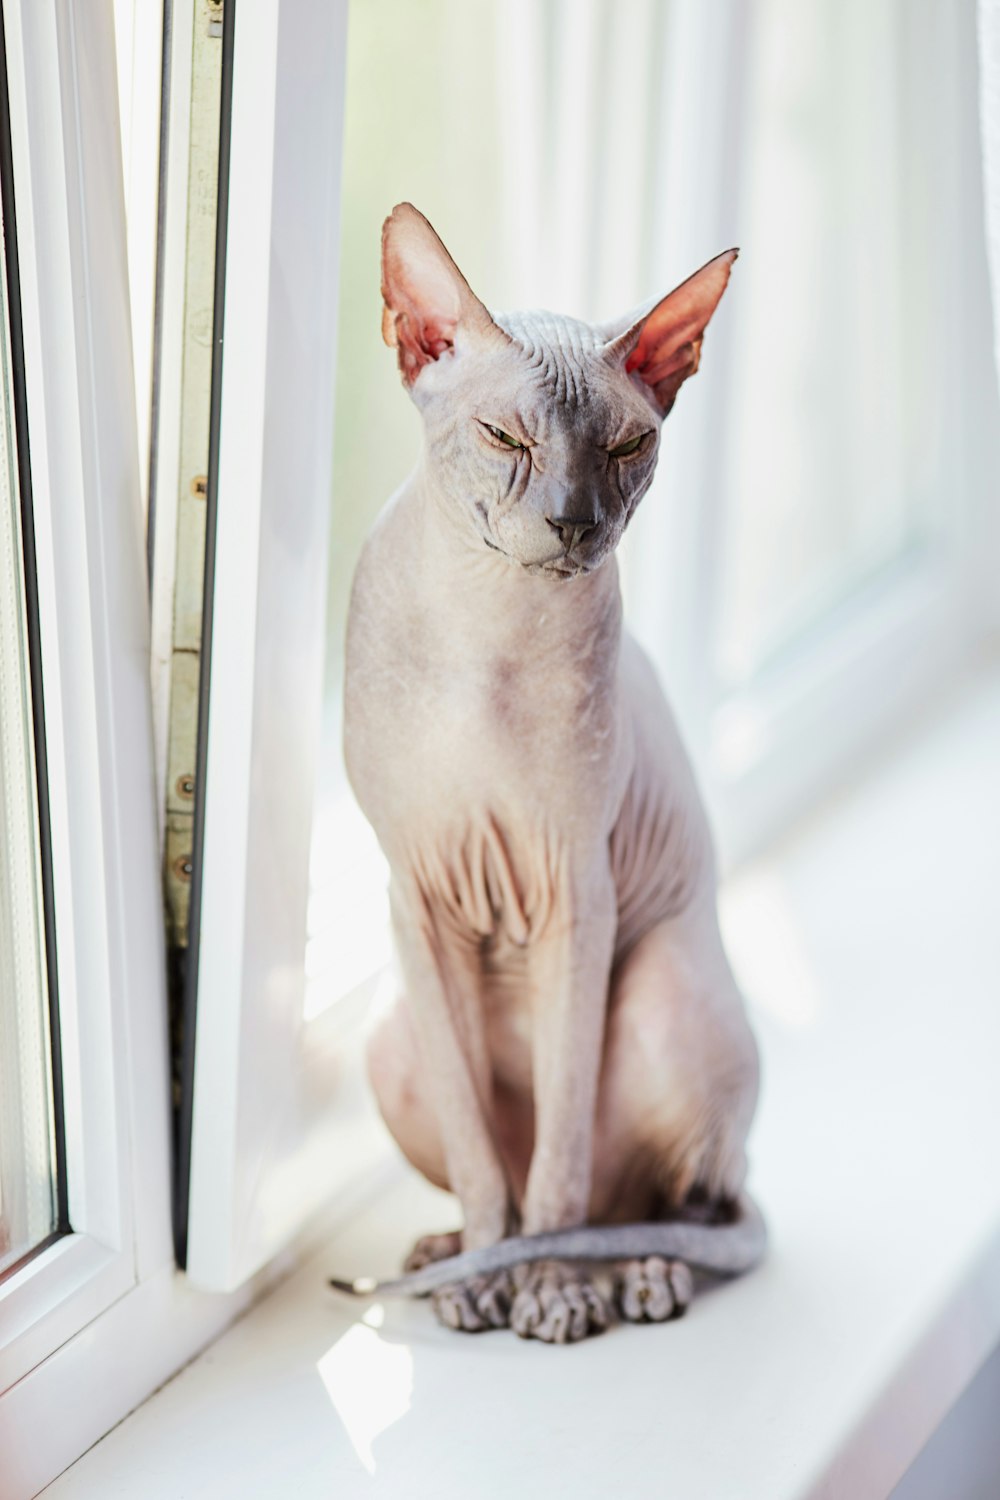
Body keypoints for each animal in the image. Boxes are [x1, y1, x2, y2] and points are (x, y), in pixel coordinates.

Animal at [332, 205, 761, 1344]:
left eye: (625, 446)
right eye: (504, 438)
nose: (575, 521)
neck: (486, 627)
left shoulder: (576, 890)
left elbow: (561, 1161)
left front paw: (553, 1290)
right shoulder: (417, 897)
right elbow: (486, 1163)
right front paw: (484, 1272)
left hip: (660, 996)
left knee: (659, 1199)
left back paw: (630, 1272)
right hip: (391, 1036)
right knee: (517, 1179)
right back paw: (453, 1254)